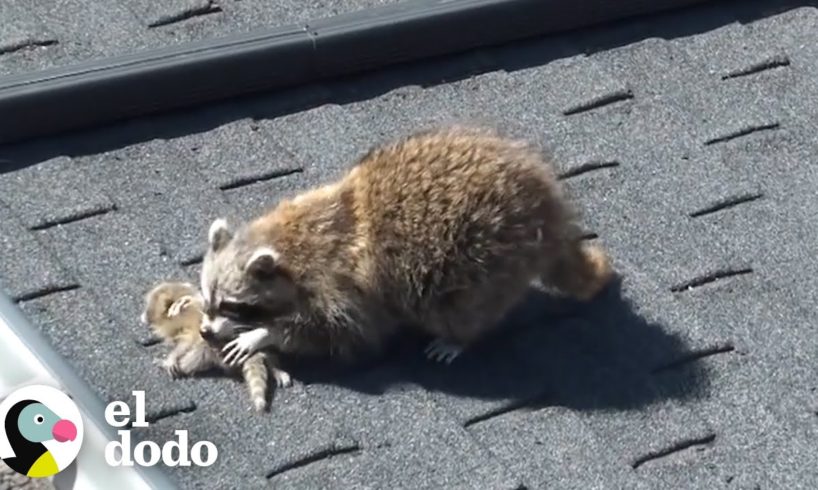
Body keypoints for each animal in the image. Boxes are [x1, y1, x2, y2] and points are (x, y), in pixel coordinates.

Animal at [139, 282, 290, 412]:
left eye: (149, 307)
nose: (144, 316)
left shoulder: (190, 329)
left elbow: (185, 343)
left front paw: (171, 359)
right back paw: (275, 368)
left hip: (211, 349)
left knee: (191, 360)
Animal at [199, 124, 612, 370]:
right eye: (208, 297)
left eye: (232, 304)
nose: (204, 331)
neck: (288, 240)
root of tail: (548, 211)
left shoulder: (339, 286)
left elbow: (341, 333)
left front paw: (263, 333)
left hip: (490, 257)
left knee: (463, 306)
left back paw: (459, 337)